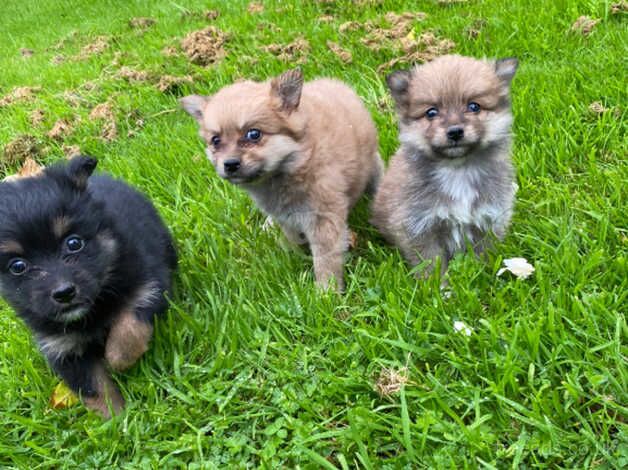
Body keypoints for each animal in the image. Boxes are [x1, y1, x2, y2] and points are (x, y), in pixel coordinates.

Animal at [0, 158, 177, 418]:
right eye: (17, 266)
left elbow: (129, 328)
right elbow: (92, 387)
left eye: (74, 243)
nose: (64, 293)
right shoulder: (62, 349)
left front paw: (116, 358)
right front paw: (117, 418)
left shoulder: (148, 287)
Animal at [179, 69, 380, 290]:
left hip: (373, 165)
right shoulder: (285, 217)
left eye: (254, 134)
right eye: (215, 141)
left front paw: (326, 292)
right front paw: (296, 255)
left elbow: (325, 260)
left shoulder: (323, 220)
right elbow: (293, 238)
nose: (230, 164)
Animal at [372, 54, 520, 276]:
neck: (458, 169)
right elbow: (431, 265)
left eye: (474, 106)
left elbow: (484, 256)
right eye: (431, 112)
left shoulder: (489, 221)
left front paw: (481, 276)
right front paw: (440, 285)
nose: (455, 131)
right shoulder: (420, 227)